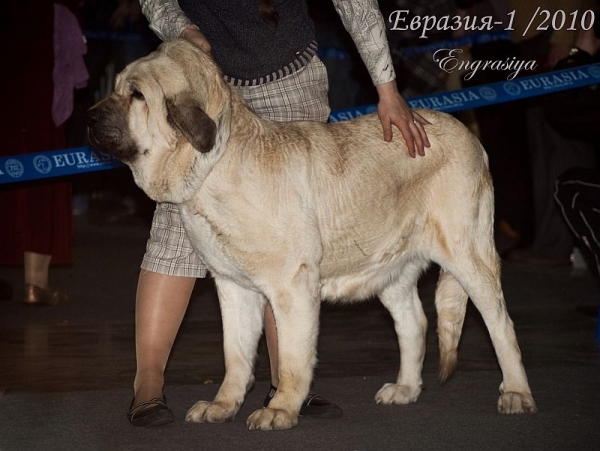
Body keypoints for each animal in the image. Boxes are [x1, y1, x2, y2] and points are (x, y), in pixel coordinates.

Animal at [89, 39, 540, 430]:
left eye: (137, 96)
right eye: (116, 88)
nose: (88, 118)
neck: (214, 165)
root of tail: (470, 136)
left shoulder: (292, 287)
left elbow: (291, 358)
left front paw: (281, 409)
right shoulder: (234, 289)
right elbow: (236, 356)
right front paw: (223, 405)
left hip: (468, 255)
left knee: (501, 324)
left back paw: (516, 393)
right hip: (389, 268)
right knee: (415, 322)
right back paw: (406, 388)